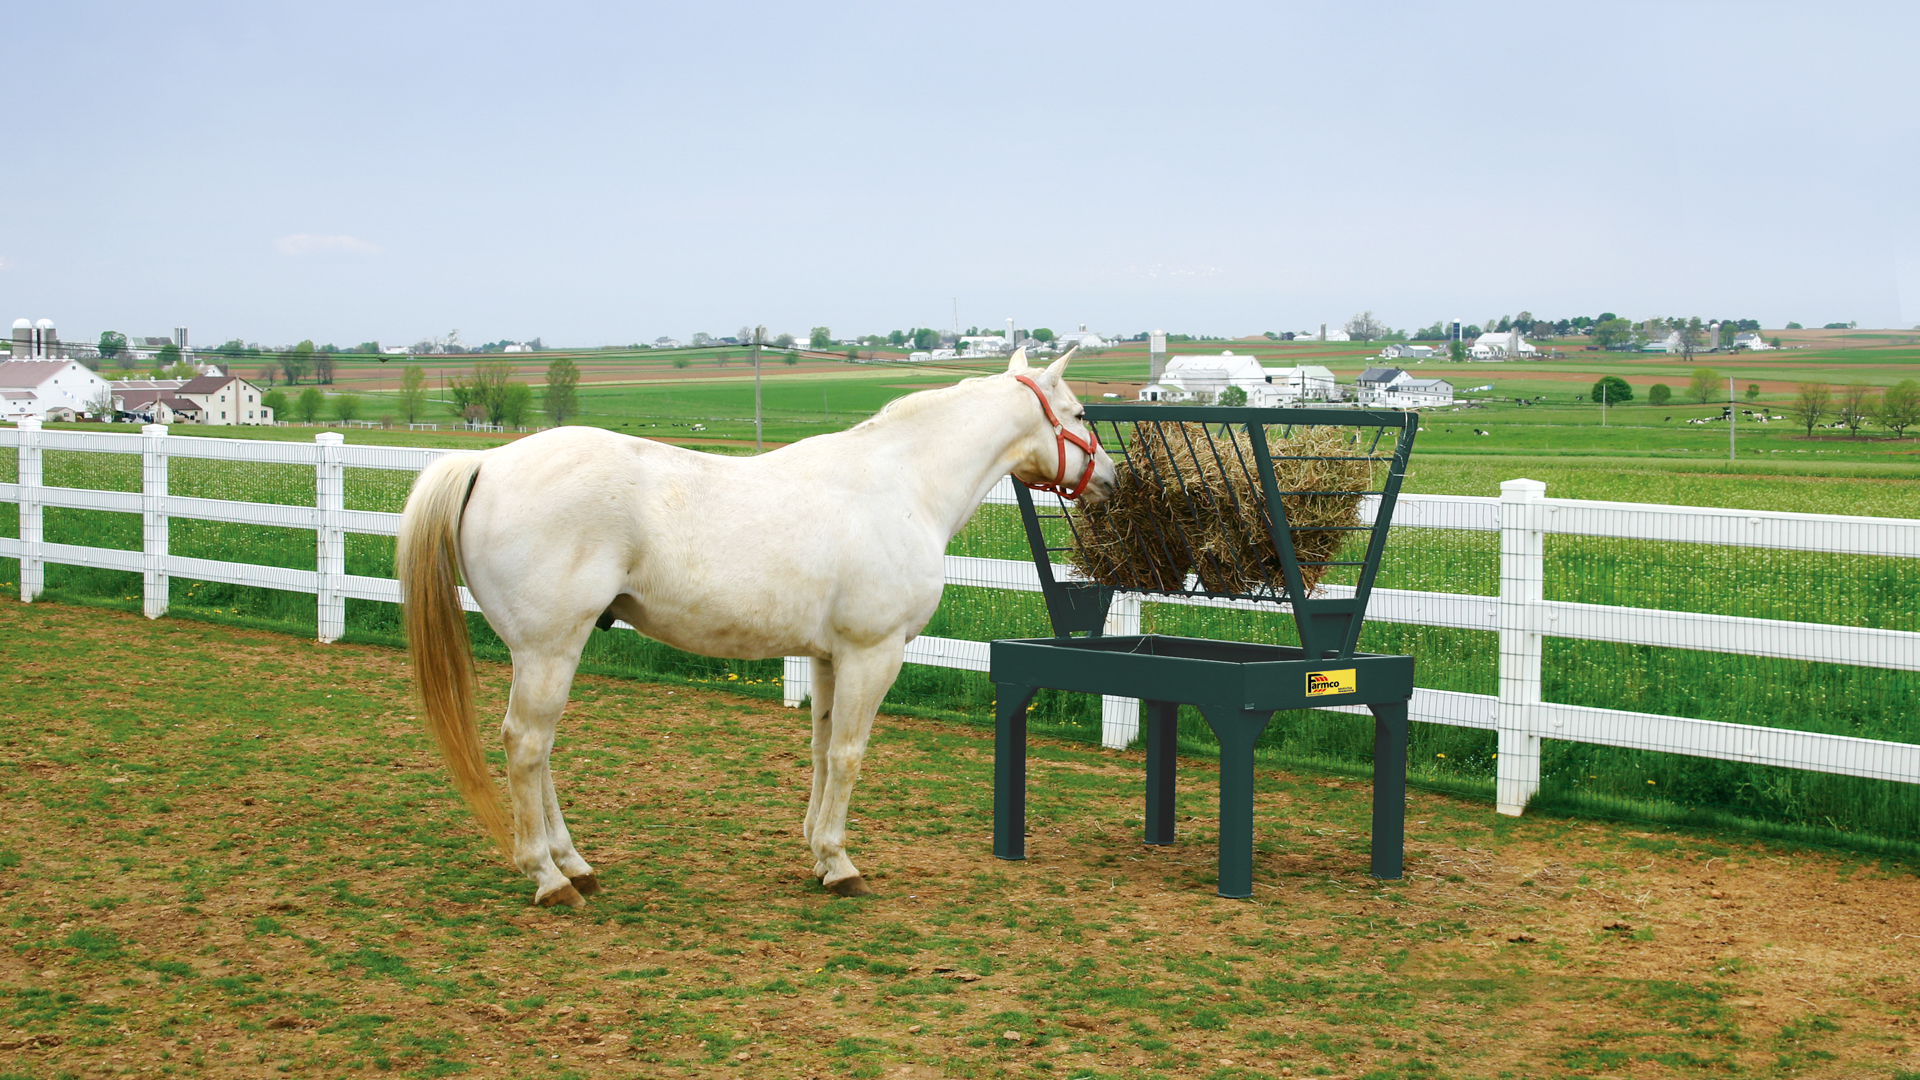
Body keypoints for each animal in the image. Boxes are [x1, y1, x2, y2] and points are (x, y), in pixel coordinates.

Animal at [393, 349, 1113, 903]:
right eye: (1081, 414)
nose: (1109, 478)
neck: (901, 487)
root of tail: (486, 464)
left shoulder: (828, 656)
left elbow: (822, 750)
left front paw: (818, 854)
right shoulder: (873, 653)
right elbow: (849, 756)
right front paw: (841, 864)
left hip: (542, 653)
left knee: (536, 753)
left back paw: (575, 865)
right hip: (548, 650)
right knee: (526, 746)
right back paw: (548, 877)